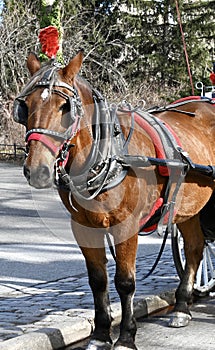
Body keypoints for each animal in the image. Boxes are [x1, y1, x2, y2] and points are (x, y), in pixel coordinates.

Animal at [13, 50, 215, 350]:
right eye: (25, 106)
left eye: (65, 107)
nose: (37, 170)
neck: (111, 155)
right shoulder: (83, 227)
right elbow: (98, 281)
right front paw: (100, 334)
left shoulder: (126, 226)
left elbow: (125, 281)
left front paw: (127, 336)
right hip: (189, 209)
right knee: (195, 248)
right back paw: (181, 307)